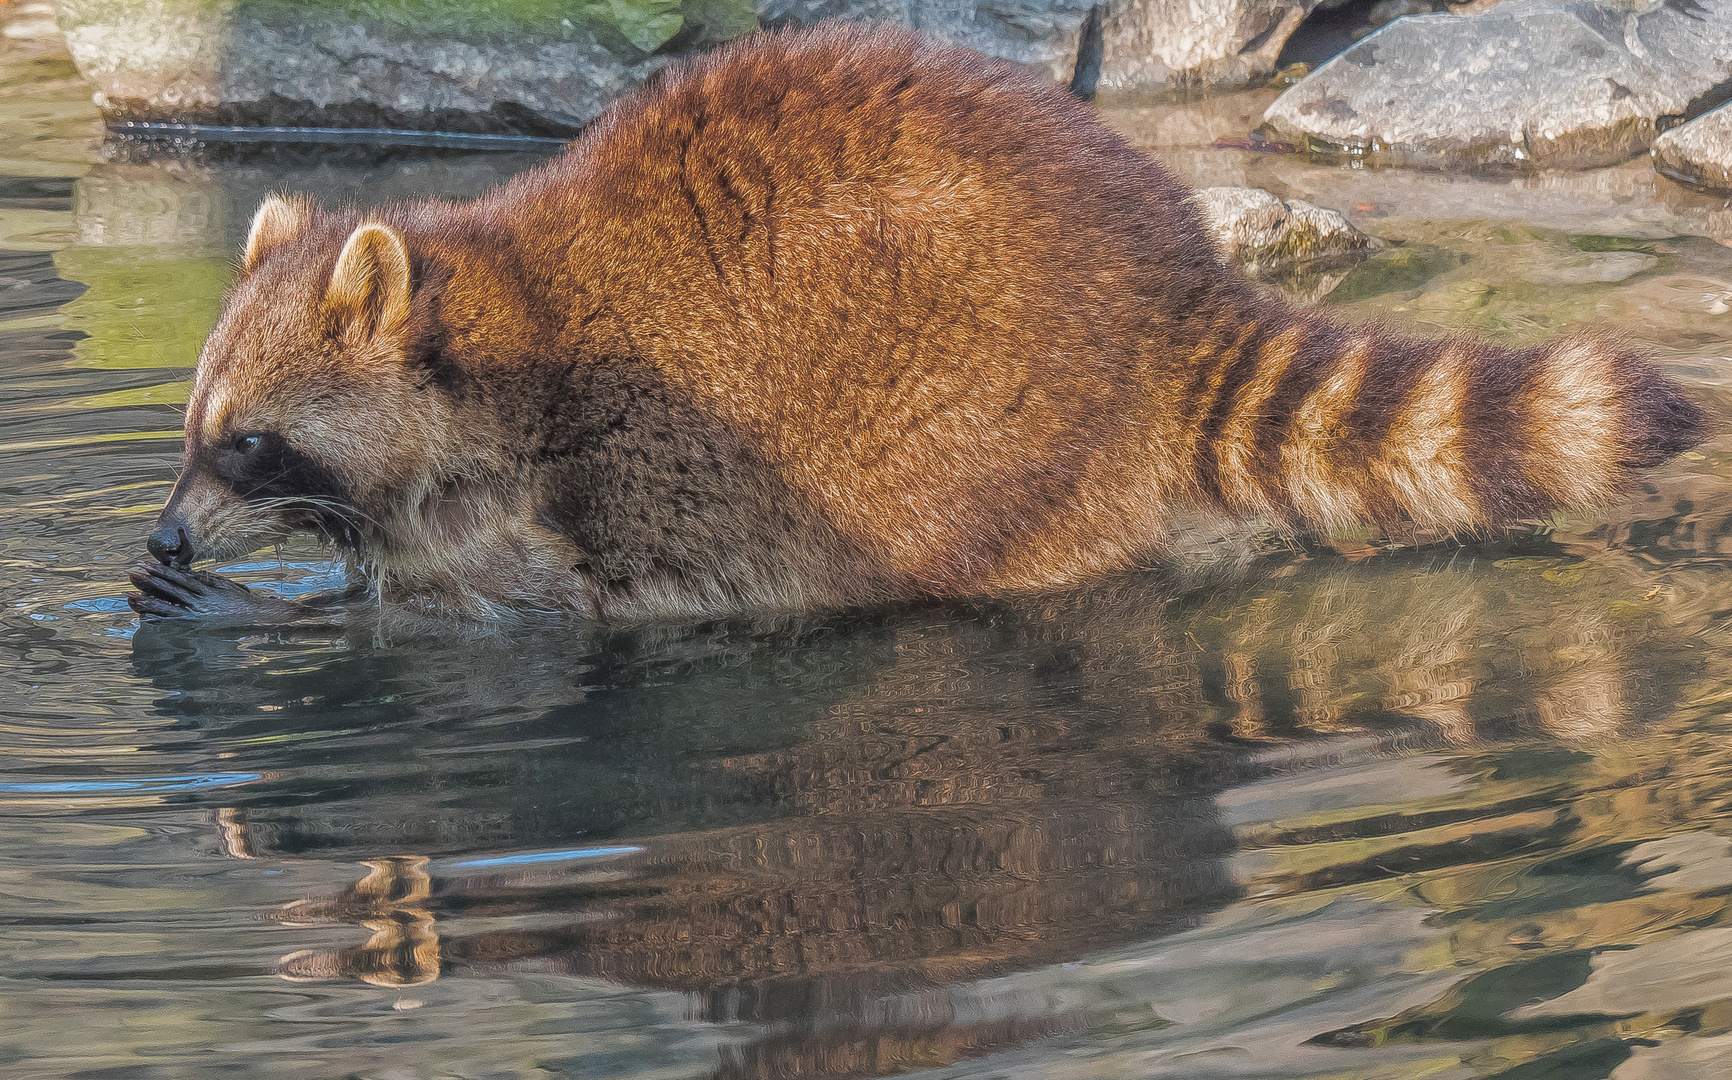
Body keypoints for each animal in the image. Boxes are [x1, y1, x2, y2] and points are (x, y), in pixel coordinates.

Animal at [125, 23, 1704, 623]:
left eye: (249, 444)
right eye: (194, 432)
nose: (168, 540)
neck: (494, 311)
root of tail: (1172, 288)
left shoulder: (592, 473)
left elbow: (533, 614)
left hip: (983, 432)